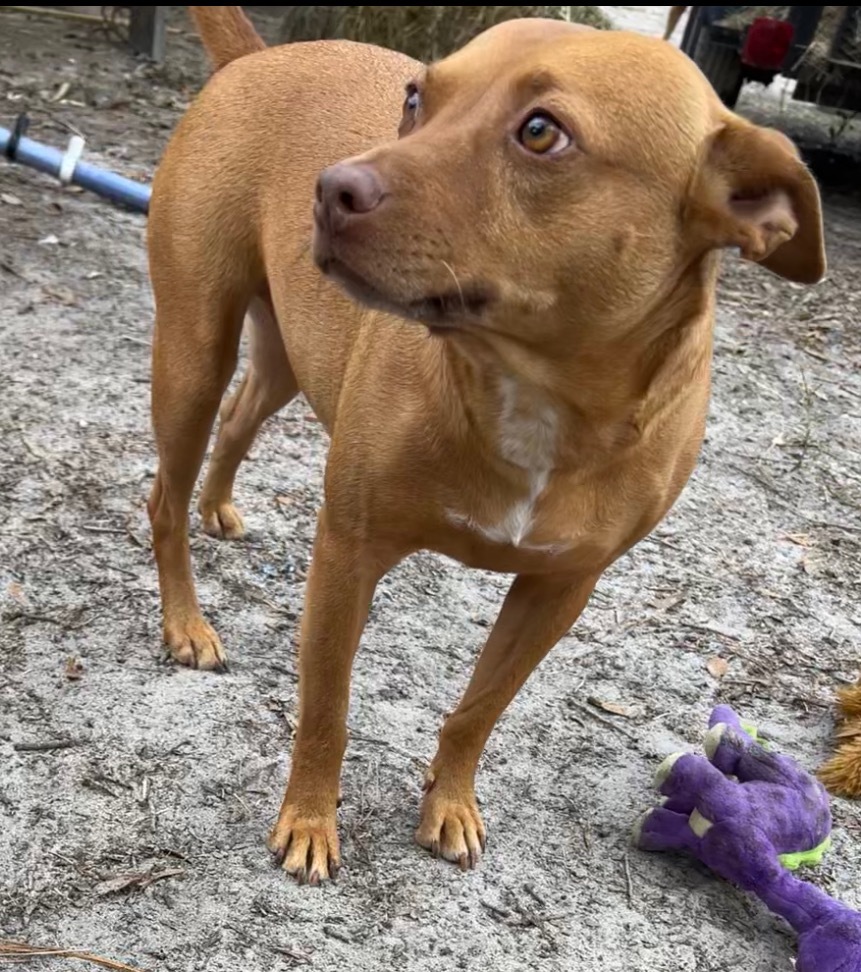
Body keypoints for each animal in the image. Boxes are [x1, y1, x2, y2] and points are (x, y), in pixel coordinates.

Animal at [146, 7, 820, 884]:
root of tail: (260, 59)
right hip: (193, 354)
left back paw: (219, 506)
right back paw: (185, 623)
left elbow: (479, 709)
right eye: (413, 98)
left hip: (288, 359)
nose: (329, 190)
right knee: (163, 495)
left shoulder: (557, 592)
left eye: (540, 132)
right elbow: (327, 707)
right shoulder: (348, 555)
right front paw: (310, 821)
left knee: (236, 423)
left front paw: (450, 804)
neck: (534, 392)